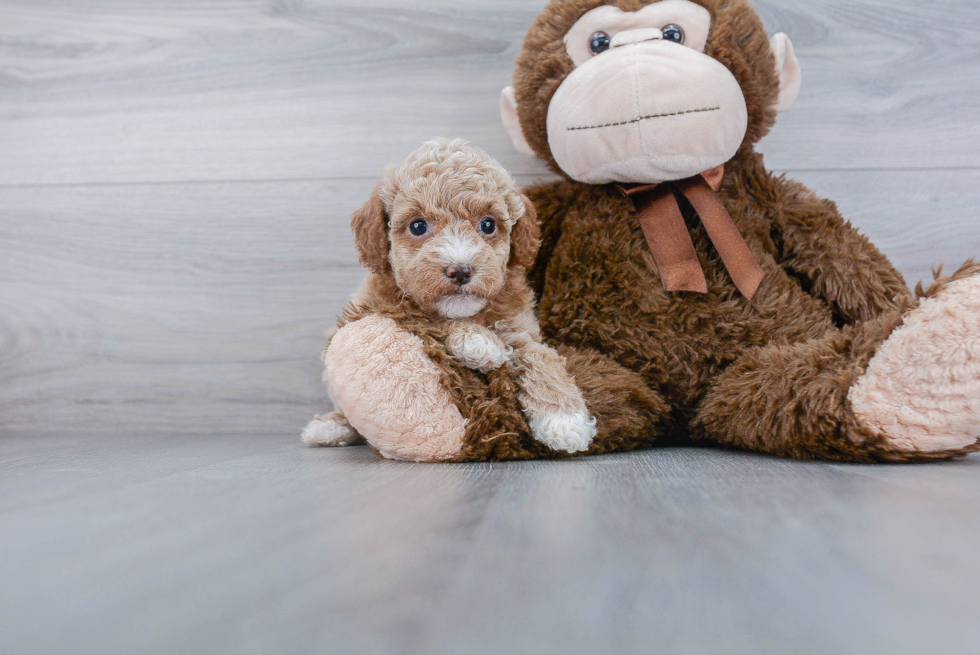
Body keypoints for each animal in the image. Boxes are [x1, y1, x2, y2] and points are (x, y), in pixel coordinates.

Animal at [304, 138, 596, 454]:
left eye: (488, 225)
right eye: (418, 226)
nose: (460, 270)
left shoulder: (520, 330)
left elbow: (539, 355)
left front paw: (565, 420)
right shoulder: (390, 307)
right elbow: (432, 321)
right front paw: (478, 341)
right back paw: (330, 426)